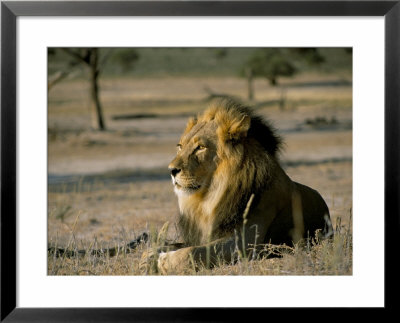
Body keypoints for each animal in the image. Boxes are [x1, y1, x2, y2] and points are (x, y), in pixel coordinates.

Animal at [155, 98, 332, 274]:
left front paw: (165, 260)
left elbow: (194, 251)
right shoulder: (199, 236)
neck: (210, 198)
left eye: (200, 147)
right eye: (180, 146)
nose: (171, 170)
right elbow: (166, 245)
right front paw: (152, 254)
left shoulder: (246, 242)